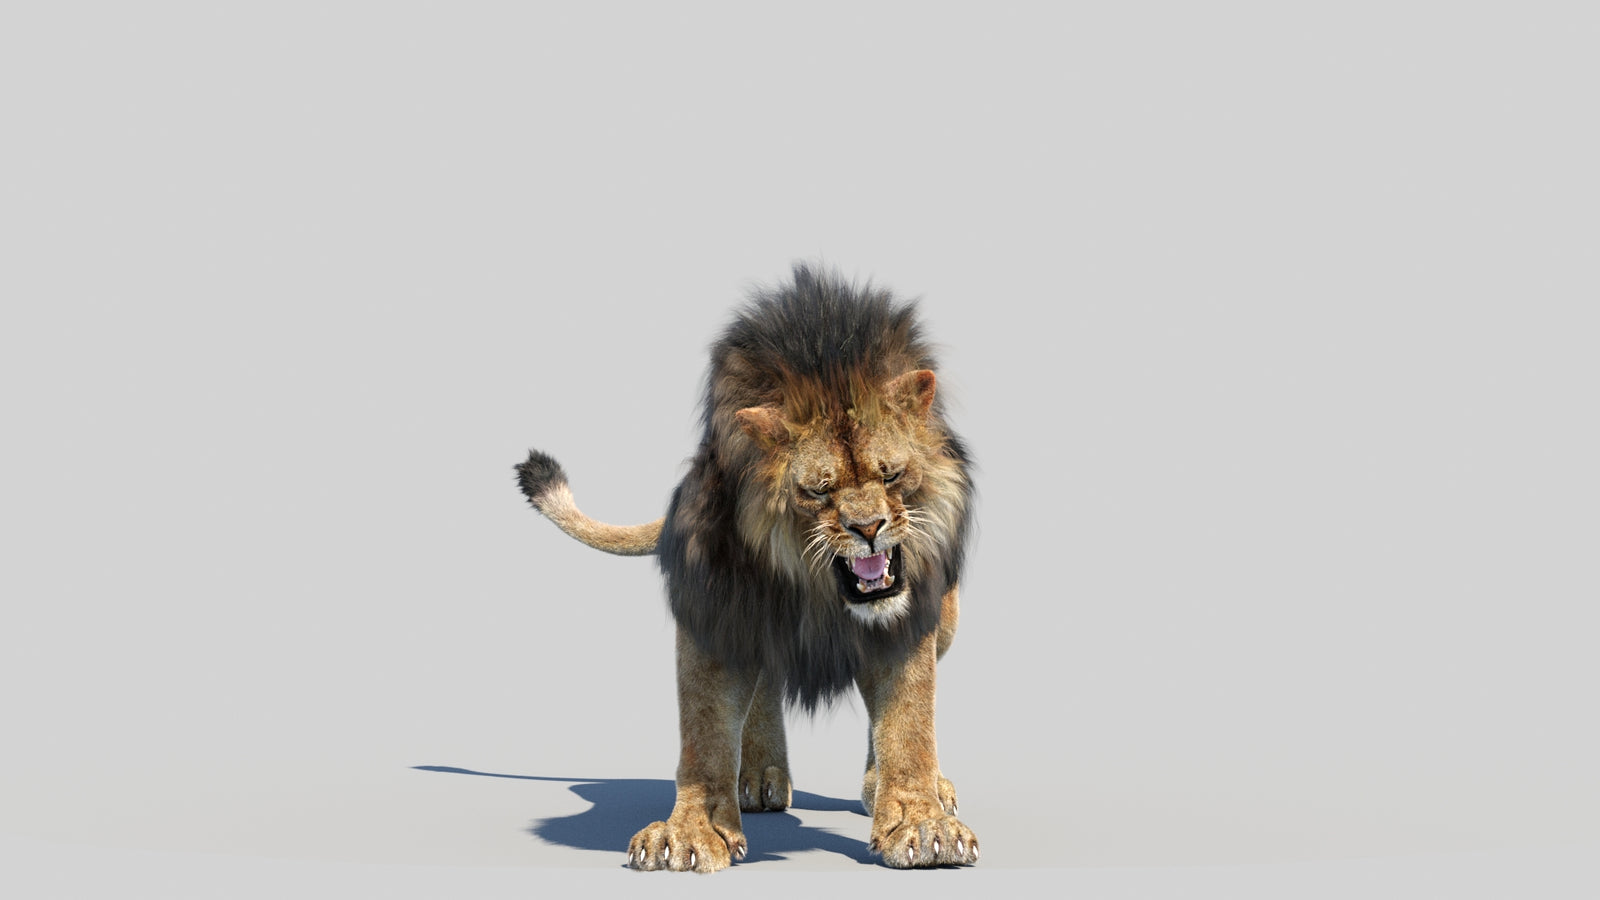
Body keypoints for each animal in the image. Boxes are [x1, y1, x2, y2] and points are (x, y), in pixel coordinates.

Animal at [515, 264, 978, 871]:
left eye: (892, 474)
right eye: (817, 490)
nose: (868, 527)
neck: (817, 591)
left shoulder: (911, 616)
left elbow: (909, 721)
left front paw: (922, 823)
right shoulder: (714, 605)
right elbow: (705, 729)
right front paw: (689, 832)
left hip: (948, 620)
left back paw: (885, 786)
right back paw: (758, 775)